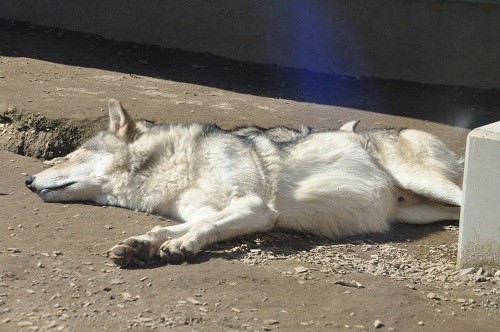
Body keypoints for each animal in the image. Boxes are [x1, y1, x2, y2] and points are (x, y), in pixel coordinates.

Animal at [25, 99, 462, 268]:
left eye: (71, 154)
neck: (181, 165)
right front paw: (140, 245)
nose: (27, 178)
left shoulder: (255, 206)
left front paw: (183, 245)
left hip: (426, 182)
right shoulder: (213, 209)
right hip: (418, 211)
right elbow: (172, 226)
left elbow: (203, 227)